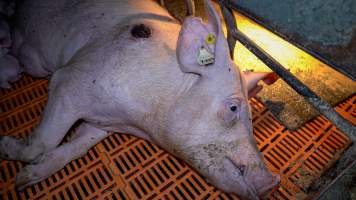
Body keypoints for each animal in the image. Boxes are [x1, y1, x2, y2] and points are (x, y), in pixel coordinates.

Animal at [0, 0, 278, 199]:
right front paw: (6, 150)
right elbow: (44, 141)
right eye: (232, 107)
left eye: (252, 117)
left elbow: (78, 146)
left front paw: (25, 179)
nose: (272, 182)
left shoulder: (103, 123)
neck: (139, 121)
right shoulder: (71, 81)